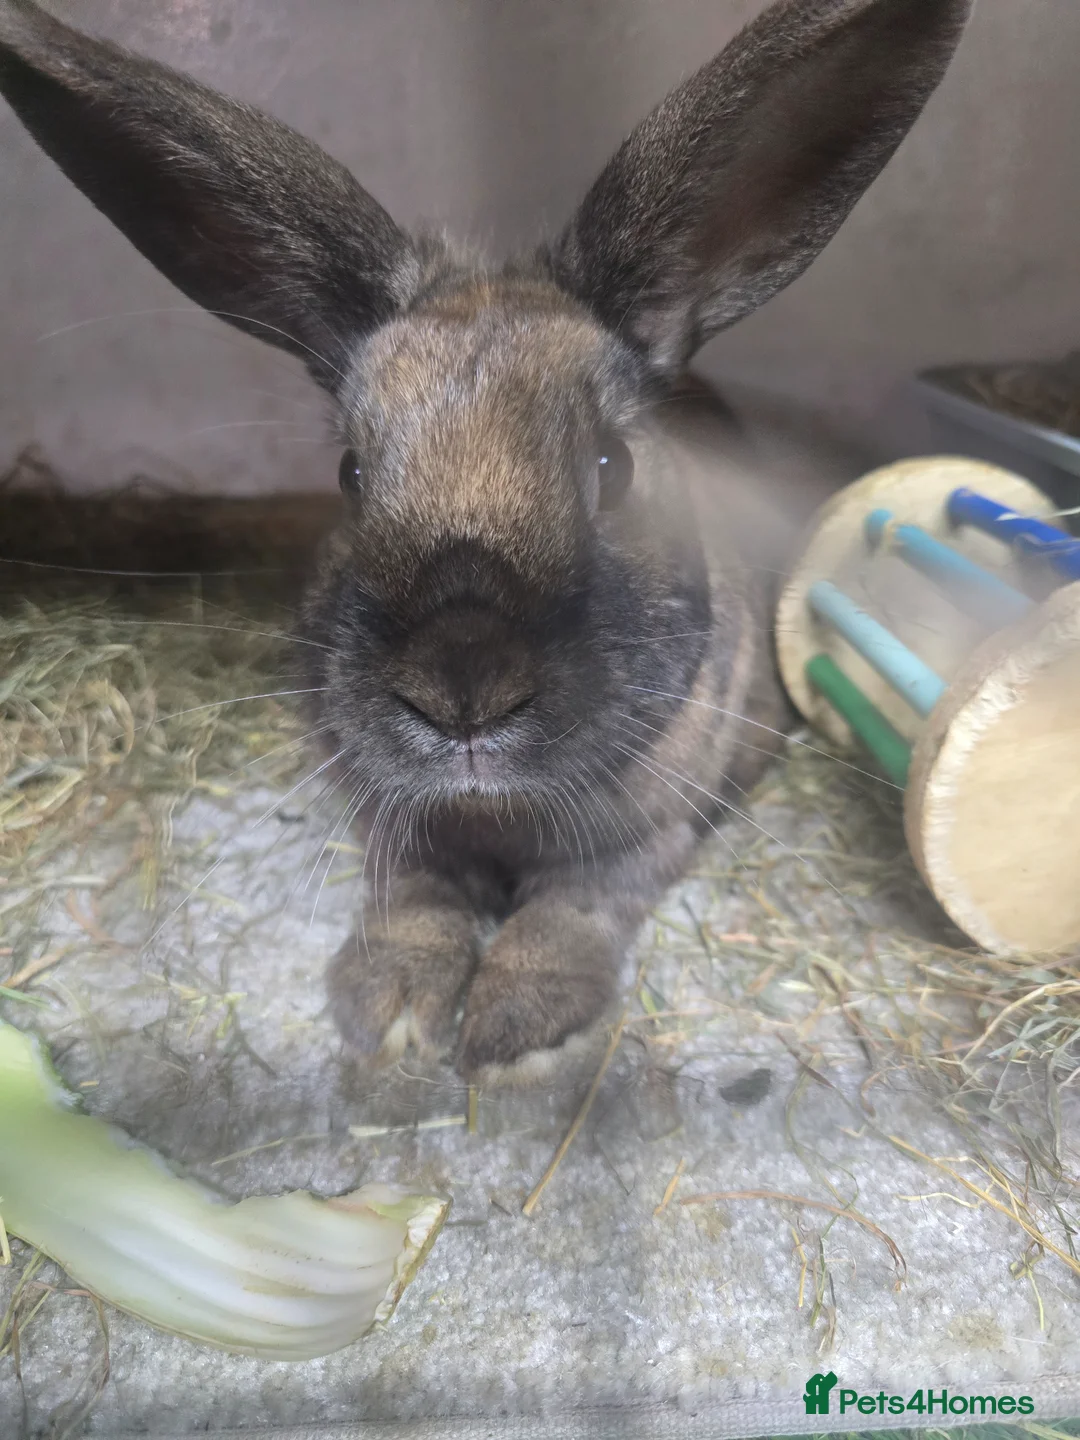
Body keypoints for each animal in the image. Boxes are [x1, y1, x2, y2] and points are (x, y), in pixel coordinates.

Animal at [0, 0, 971, 1085]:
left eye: (612, 467)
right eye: (350, 473)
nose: (461, 686)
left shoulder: (647, 837)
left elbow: (570, 911)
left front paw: (512, 1023)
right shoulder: (396, 830)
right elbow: (416, 898)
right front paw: (394, 1011)